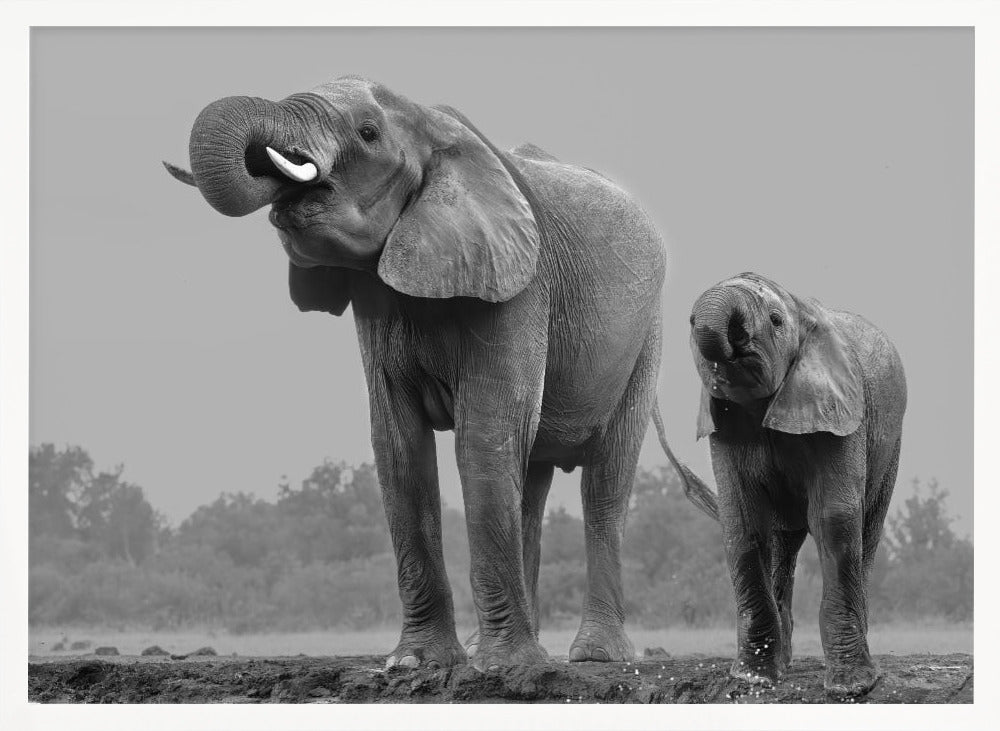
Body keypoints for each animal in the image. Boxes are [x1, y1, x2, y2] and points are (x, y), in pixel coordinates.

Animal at [165, 75, 717, 671]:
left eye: (368, 132)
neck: (433, 126)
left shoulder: (519, 285)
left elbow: (484, 434)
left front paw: (504, 669)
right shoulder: (377, 298)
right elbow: (398, 445)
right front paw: (420, 663)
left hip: (646, 340)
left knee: (605, 483)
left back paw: (594, 656)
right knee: (530, 481)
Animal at [687, 272, 906, 696]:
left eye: (775, 320)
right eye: (689, 323)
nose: (735, 338)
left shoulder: (841, 413)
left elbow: (834, 518)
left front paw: (852, 688)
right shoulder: (724, 424)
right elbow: (743, 523)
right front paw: (753, 680)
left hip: (890, 444)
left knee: (867, 529)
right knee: (781, 541)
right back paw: (783, 662)